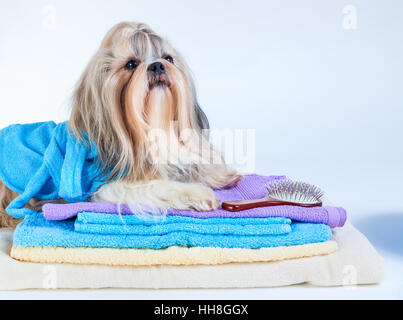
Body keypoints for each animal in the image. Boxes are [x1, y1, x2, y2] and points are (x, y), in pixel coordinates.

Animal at [0, 21, 243, 228]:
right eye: (131, 64)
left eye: (168, 58)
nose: (157, 66)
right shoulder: (107, 186)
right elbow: (160, 185)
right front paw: (197, 193)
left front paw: (220, 176)